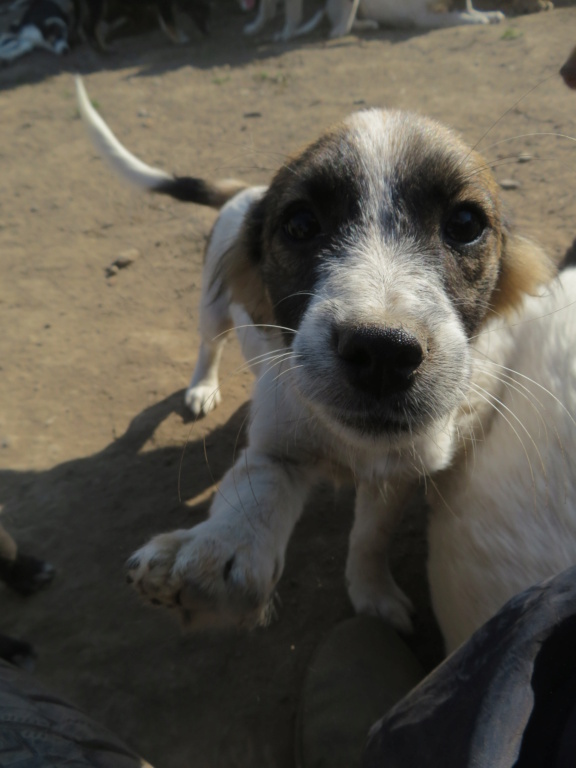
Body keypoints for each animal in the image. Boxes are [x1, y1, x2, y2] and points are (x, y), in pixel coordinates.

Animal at [75, 76, 576, 656]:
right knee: (208, 344)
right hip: (211, 304)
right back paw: (201, 387)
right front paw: (212, 556)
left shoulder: (399, 473)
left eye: (466, 222)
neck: (351, 448)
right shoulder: (279, 446)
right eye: (299, 223)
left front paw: (372, 592)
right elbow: (256, 488)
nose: (383, 353)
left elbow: (369, 536)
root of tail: (245, 191)